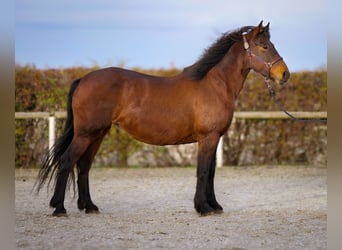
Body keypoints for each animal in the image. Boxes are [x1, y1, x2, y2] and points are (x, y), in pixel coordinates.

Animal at [36, 21, 288, 216]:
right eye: (264, 46)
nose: (284, 75)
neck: (215, 84)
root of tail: (83, 79)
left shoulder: (214, 139)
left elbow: (211, 173)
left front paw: (214, 206)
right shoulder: (207, 138)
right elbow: (203, 172)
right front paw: (203, 207)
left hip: (97, 134)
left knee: (84, 166)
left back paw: (89, 206)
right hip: (86, 134)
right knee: (67, 162)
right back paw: (59, 208)